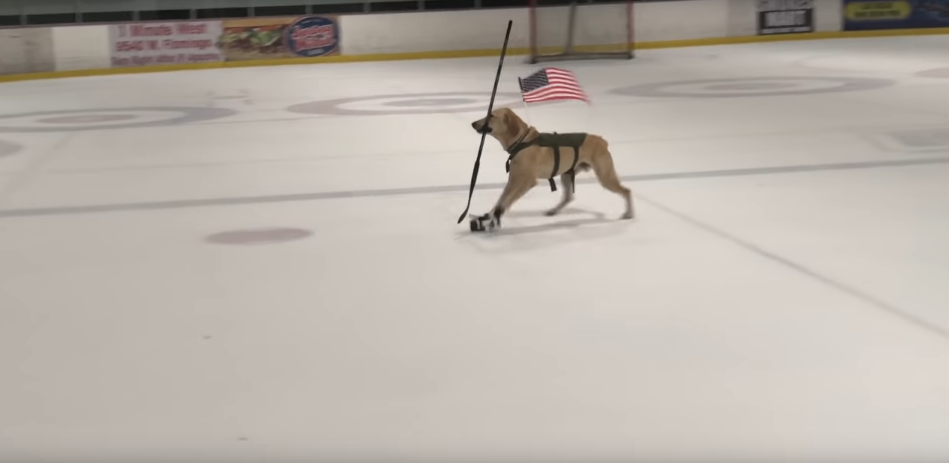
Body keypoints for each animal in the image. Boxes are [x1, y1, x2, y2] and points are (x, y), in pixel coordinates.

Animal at [468, 108, 632, 232]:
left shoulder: (526, 182)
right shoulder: (513, 180)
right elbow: (501, 200)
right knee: (568, 197)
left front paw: (495, 217)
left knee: (627, 191)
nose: (473, 123)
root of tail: (601, 140)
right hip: (567, 175)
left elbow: (506, 201)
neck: (523, 141)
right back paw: (554, 210)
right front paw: (490, 216)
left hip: (605, 177)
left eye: (491, 115)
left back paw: (629, 213)